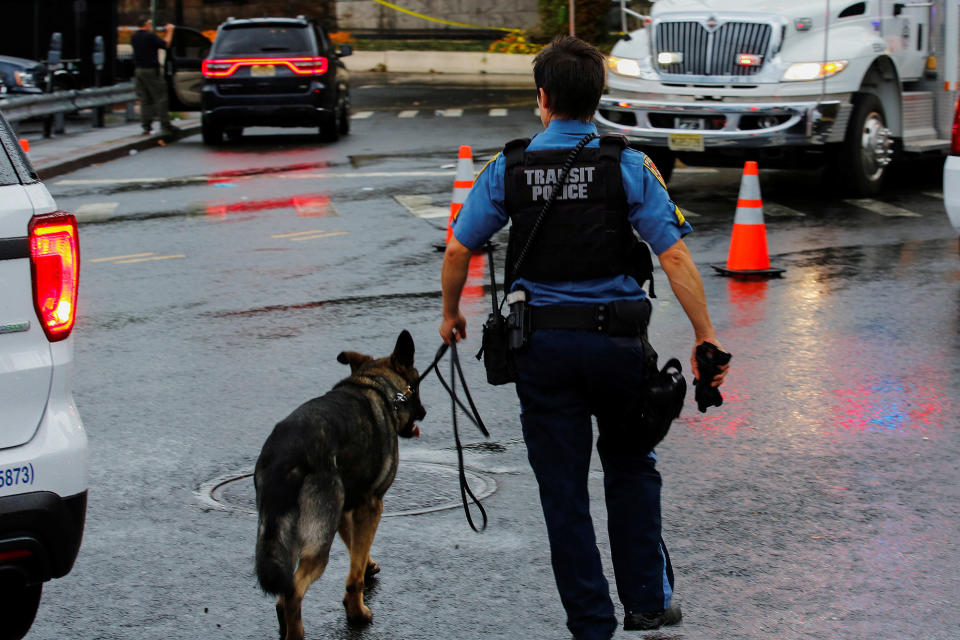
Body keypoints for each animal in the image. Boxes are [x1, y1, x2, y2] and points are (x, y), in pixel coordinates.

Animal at [255, 332, 424, 636]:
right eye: (416, 386)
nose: (424, 413)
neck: (377, 386)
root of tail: (286, 453)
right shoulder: (372, 506)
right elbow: (354, 572)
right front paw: (356, 610)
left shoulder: (346, 509)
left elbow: (357, 549)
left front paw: (368, 565)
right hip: (318, 541)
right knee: (293, 592)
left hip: (284, 536)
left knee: (283, 592)